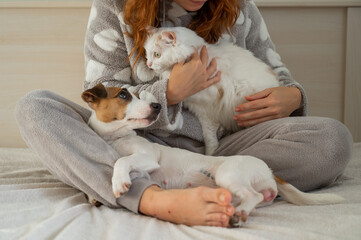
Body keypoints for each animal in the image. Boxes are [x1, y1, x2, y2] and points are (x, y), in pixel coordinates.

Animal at [81, 83, 344, 227]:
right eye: (123, 95)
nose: (158, 106)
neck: (116, 138)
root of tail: (269, 170)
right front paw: (93, 197)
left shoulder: (148, 157)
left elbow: (122, 160)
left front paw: (119, 182)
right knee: (256, 199)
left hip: (229, 175)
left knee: (254, 196)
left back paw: (238, 215)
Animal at [143, 27, 278, 156]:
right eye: (147, 55)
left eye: (157, 54)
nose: (148, 64)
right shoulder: (204, 113)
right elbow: (210, 138)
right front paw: (211, 154)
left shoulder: (212, 101)